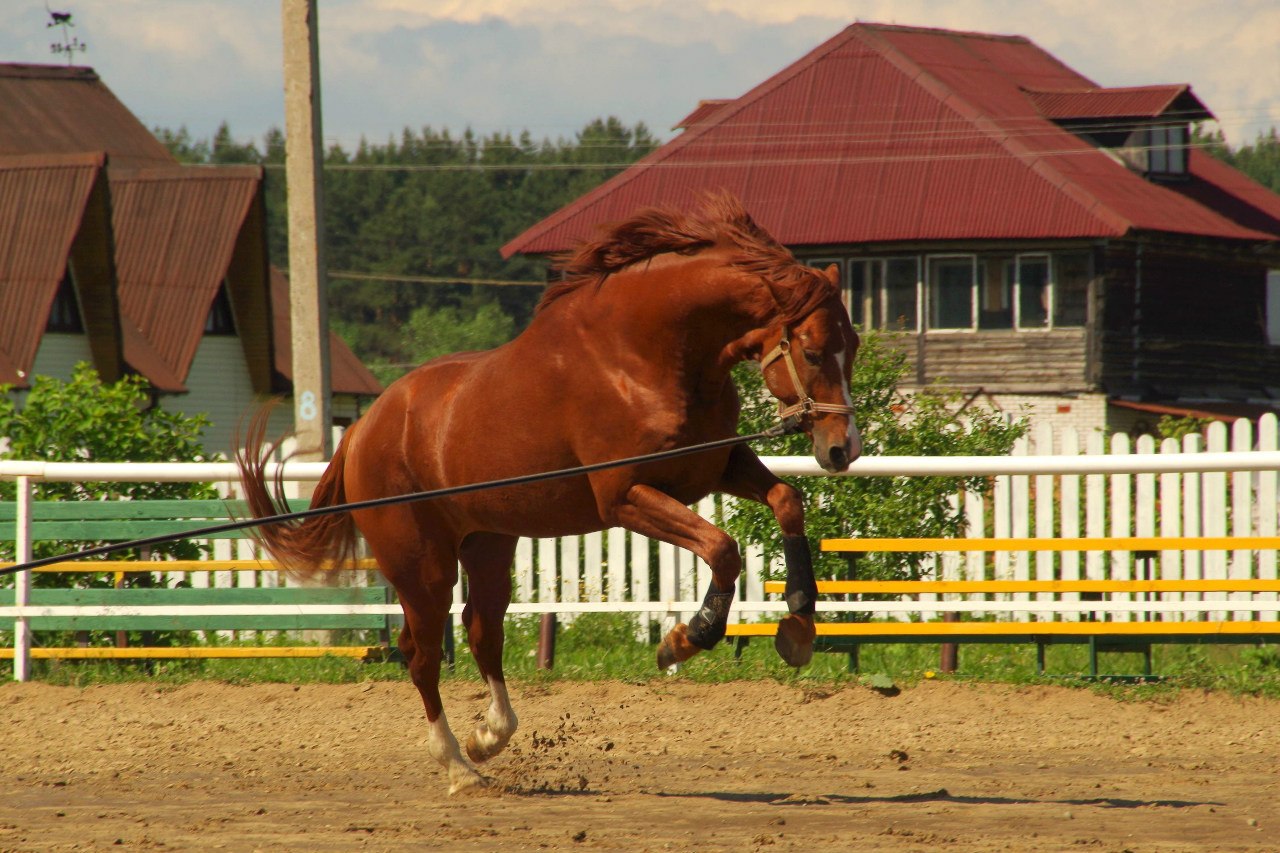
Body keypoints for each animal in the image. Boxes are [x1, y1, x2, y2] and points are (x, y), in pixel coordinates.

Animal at [236, 194, 865, 788]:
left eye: (853, 345)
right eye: (812, 350)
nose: (843, 449)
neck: (645, 355)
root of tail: (364, 429)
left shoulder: (716, 465)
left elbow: (787, 502)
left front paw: (800, 624)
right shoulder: (626, 496)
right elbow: (723, 549)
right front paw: (687, 638)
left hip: (488, 545)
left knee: (483, 632)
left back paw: (491, 736)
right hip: (421, 566)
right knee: (422, 655)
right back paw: (458, 767)